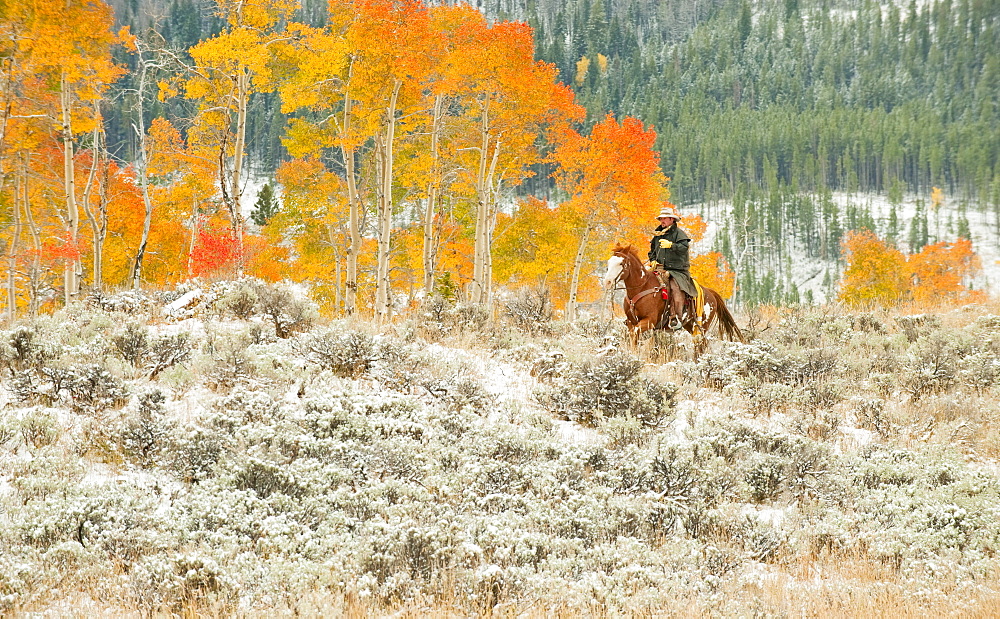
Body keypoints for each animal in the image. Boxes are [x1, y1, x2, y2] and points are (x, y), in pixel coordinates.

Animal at [600, 245, 744, 356]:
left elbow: (635, 334)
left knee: (701, 344)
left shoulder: (649, 321)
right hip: (690, 325)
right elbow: (633, 337)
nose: (607, 282)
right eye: (609, 262)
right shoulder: (631, 322)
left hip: (702, 325)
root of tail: (710, 292)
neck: (642, 286)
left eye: (621, 263)